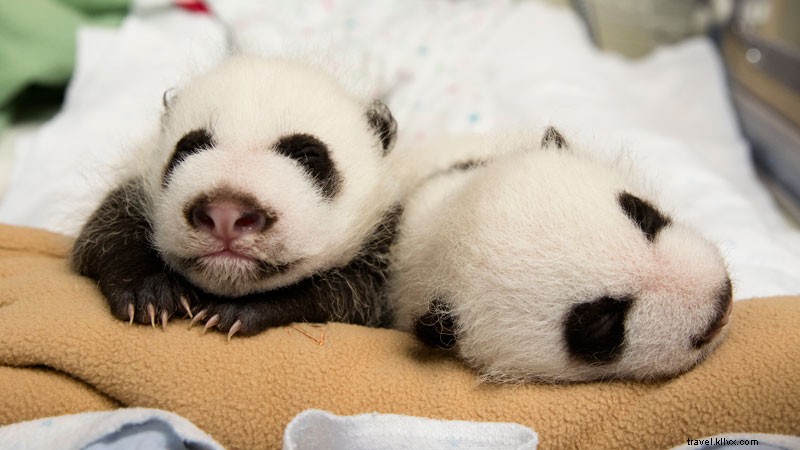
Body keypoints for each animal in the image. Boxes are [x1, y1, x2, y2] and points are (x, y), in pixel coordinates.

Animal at [71, 55, 402, 339]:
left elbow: (347, 295)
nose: (225, 214)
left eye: (309, 156)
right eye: (189, 147)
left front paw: (237, 311)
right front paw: (149, 293)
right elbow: (102, 233)